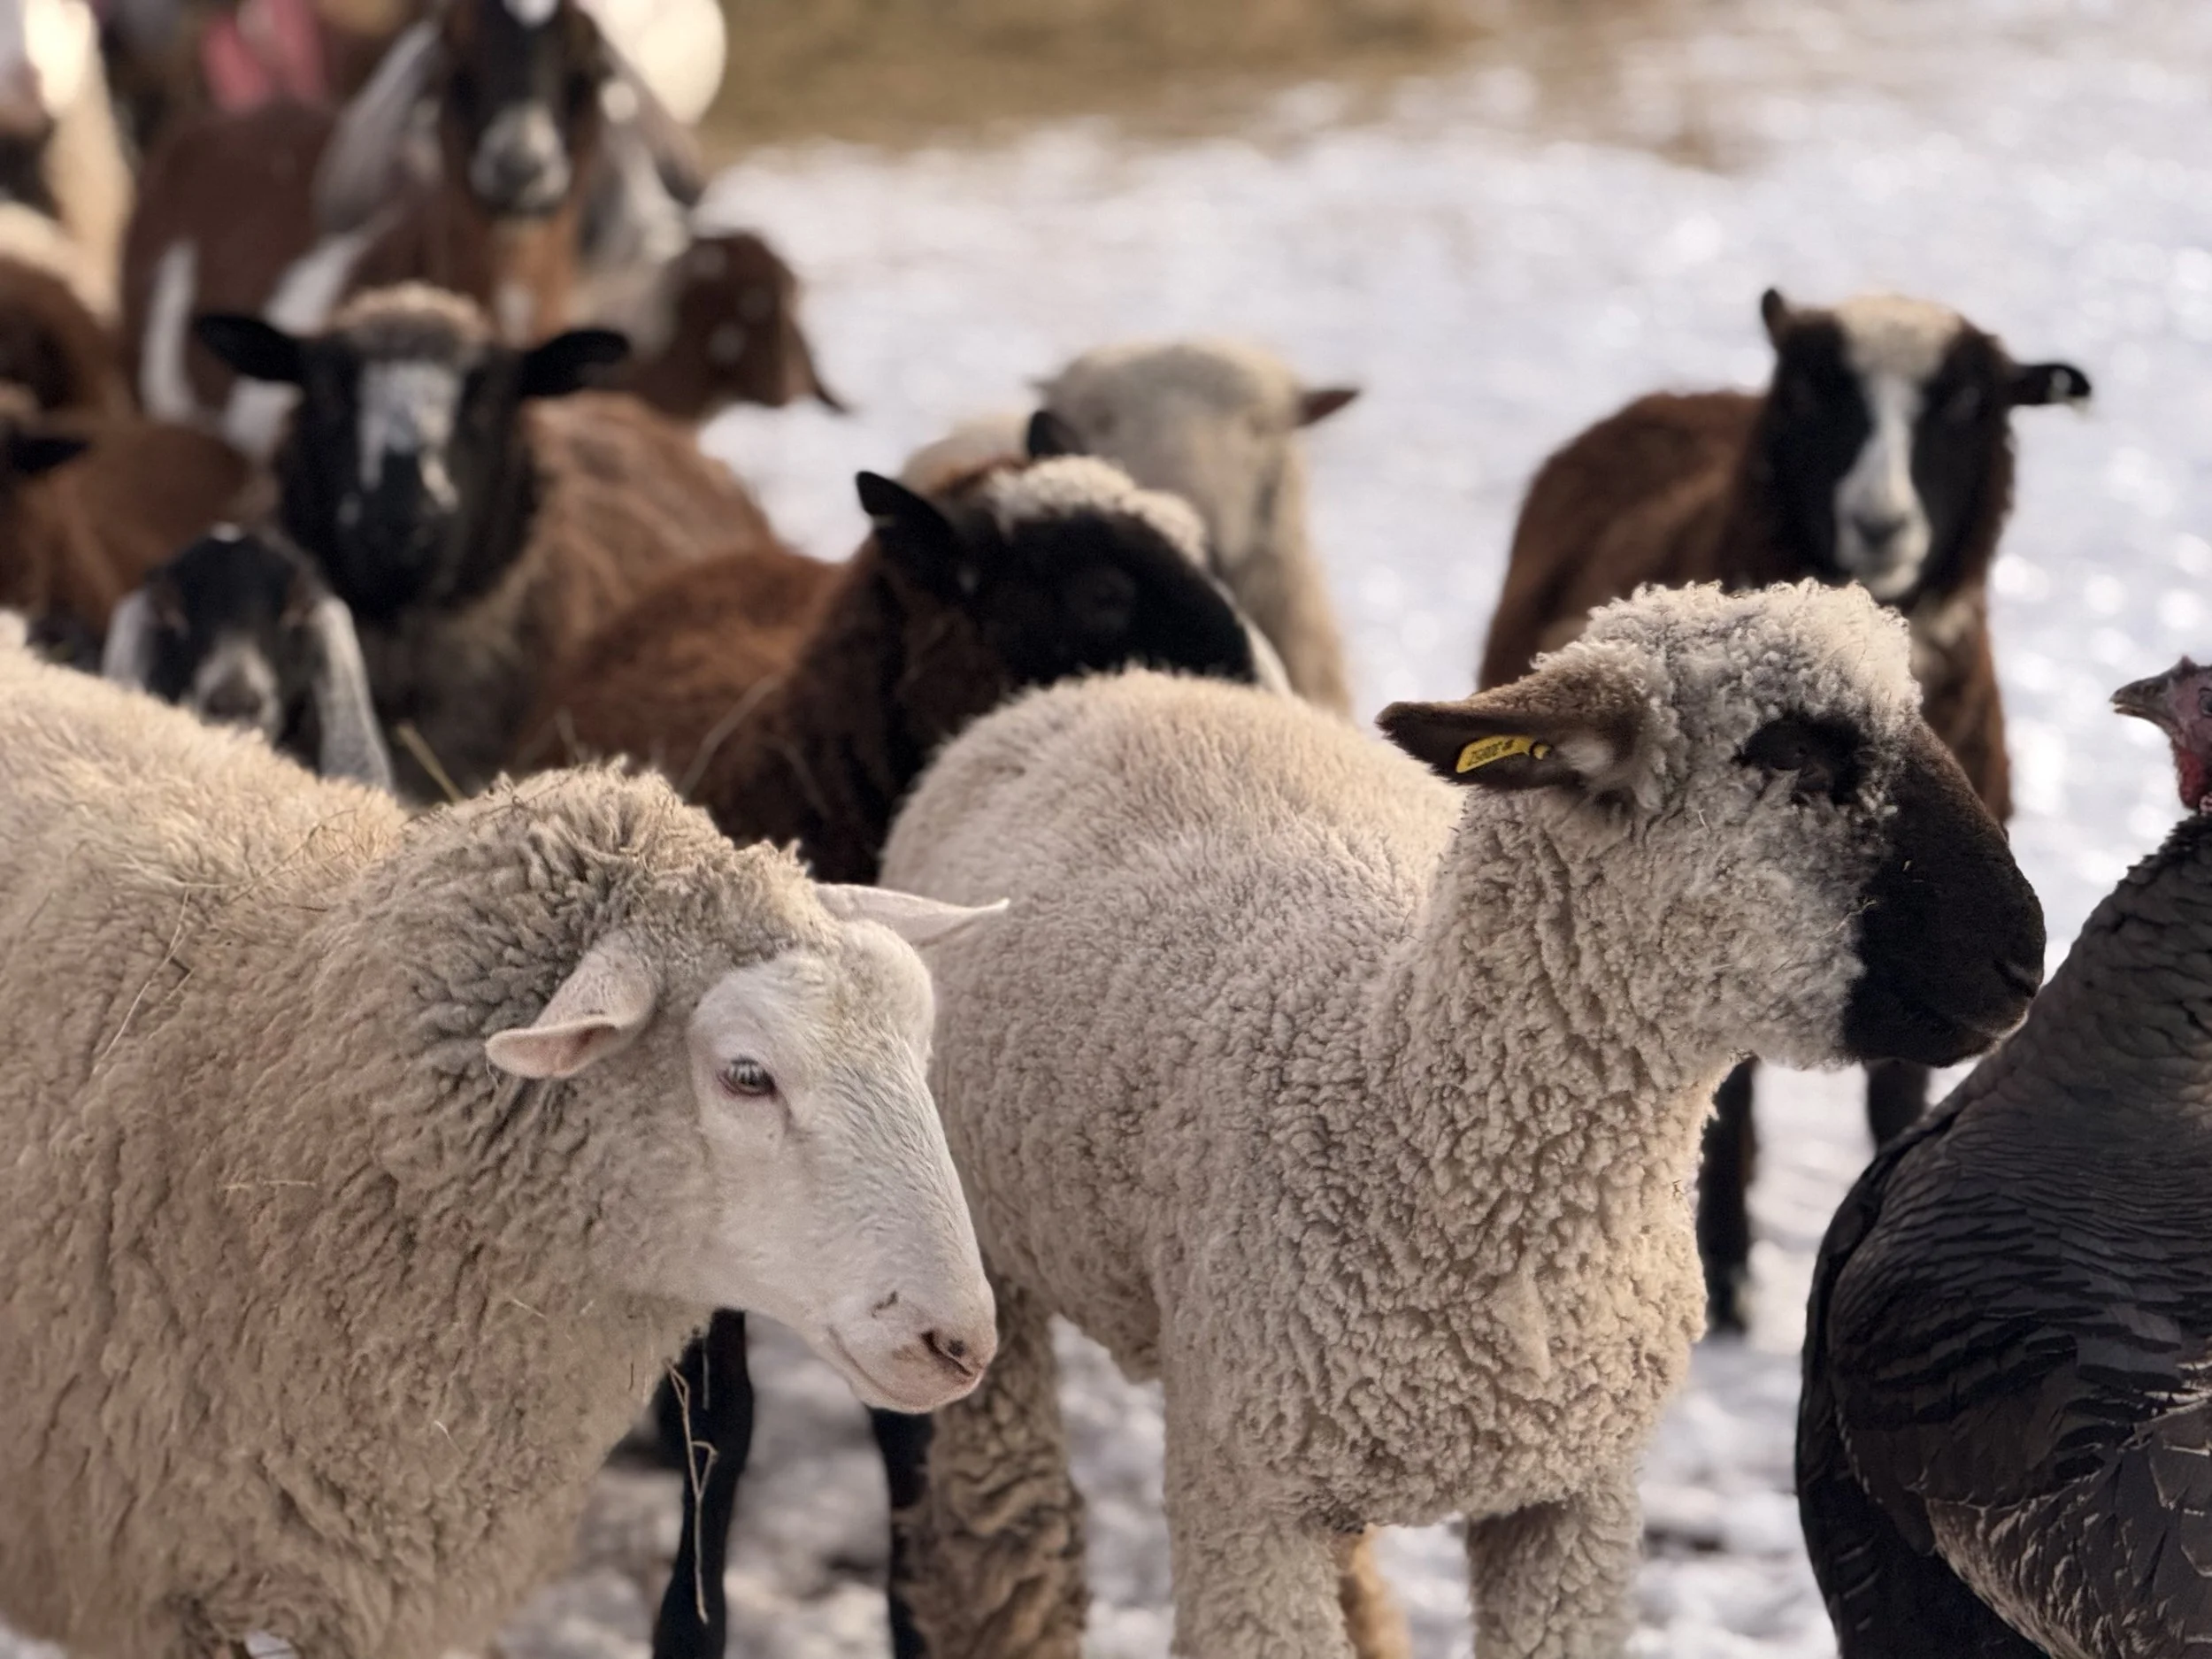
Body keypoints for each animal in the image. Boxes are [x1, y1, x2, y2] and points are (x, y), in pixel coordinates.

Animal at [876, 580, 2044, 1659]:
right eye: (1790, 749)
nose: (2023, 957)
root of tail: (1096, 686)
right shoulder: (1245, 1508)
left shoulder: (1574, 1500)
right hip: (981, 1271)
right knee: (1004, 1537)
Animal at [1478, 288, 2091, 1331]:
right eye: (1811, 392)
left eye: (1972, 404)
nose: (1879, 525)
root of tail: (1688, 393)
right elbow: (1731, 1107)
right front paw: (1727, 1275)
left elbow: (1895, 1103)